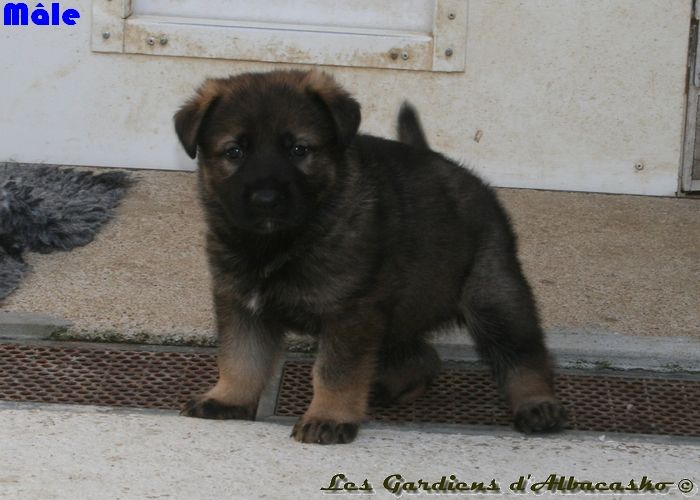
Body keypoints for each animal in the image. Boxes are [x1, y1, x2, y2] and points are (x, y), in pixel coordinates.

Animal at [175, 69, 568, 442]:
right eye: (234, 152)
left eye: (299, 150)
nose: (266, 200)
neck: (282, 243)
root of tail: (457, 170)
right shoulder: (241, 303)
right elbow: (240, 358)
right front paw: (228, 398)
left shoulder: (351, 311)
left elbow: (334, 371)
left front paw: (328, 416)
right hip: (399, 313)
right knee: (423, 357)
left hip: (493, 295)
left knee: (523, 354)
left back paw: (537, 404)